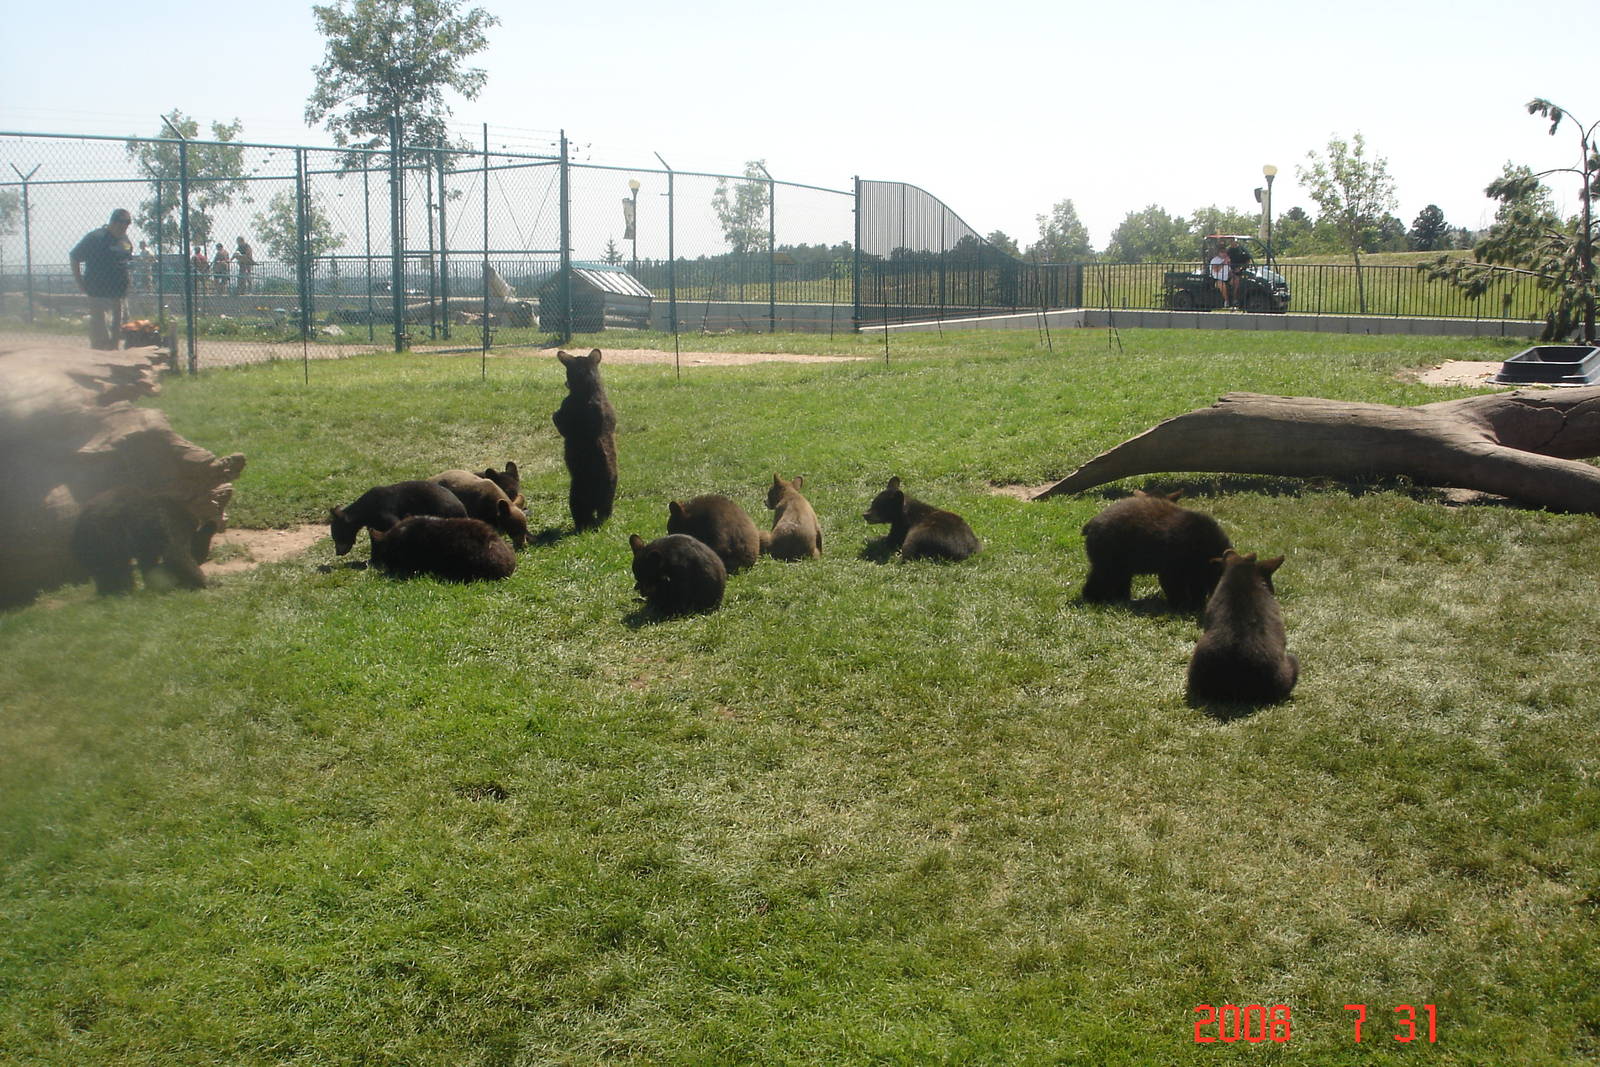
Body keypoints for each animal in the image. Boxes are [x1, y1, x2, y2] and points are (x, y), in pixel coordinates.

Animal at [70, 487, 216, 595]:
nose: (201, 560)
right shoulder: (171, 522)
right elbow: (176, 554)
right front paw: (207, 582)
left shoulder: (147, 541)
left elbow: (148, 560)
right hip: (107, 536)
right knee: (116, 566)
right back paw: (122, 590)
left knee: (105, 569)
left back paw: (111, 591)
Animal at [551, 349, 618, 531]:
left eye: (568, 373)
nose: (565, 382)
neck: (591, 388)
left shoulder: (564, 419)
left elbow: (559, 420)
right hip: (607, 503)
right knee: (605, 514)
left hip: (576, 496)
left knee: (583, 518)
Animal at [1080, 489, 1231, 610]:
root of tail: (1091, 524)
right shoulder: (1173, 566)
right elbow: (1174, 586)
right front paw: (1181, 607)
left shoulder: (1195, 570)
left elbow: (1196, 588)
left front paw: (1196, 605)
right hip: (1108, 558)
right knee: (1100, 578)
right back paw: (1093, 599)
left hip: (1121, 563)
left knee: (1120, 579)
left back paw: (1121, 599)